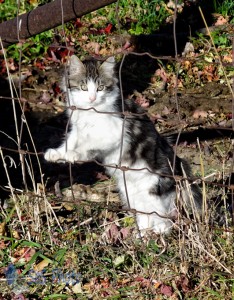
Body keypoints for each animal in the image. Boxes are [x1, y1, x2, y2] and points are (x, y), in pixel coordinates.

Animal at [44, 55, 201, 234]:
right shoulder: (78, 128)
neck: (91, 111)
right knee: (145, 215)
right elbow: (70, 141)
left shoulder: (113, 133)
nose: (92, 98)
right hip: (132, 194)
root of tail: (179, 164)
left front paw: (74, 155)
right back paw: (142, 236)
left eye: (100, 88)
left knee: (164, 221)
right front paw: (57, 154)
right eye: (84, 87)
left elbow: (88, 146)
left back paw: (156, 237)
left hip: (154, 192)